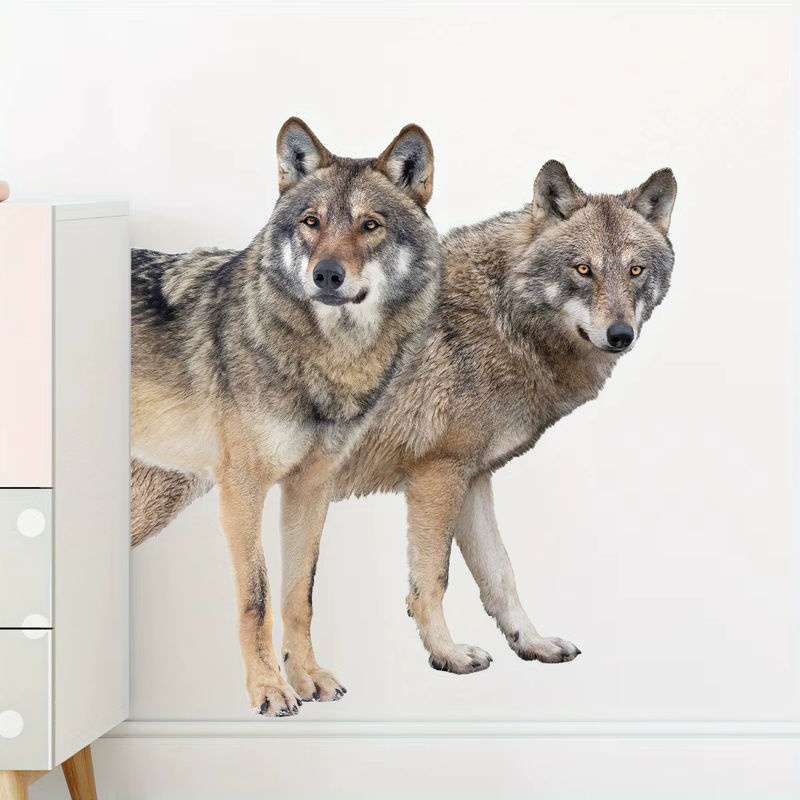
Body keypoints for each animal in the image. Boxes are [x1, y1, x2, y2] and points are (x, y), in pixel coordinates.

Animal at [130, 118, 441, 716]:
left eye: (370, 225)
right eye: (311, 222)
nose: (326, 275)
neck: (327, 363)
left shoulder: (311, 489)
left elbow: (301, 595)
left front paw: (308, 677)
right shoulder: (243, 490)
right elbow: (258, 598)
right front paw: (269, 689)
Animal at [133, 159, 676, 686]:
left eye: (635, 271)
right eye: (583, 270)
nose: (621, 334)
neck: (501, 319)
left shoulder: (473, 478)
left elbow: (500, 574)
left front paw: (532, 643)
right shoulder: (436, 476)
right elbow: (433, 581)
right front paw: (449, 655)